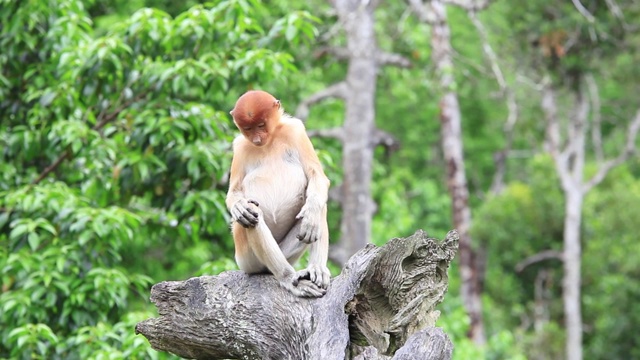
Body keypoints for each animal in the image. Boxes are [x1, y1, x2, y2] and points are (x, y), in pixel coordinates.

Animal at [226, 89, 330, 296]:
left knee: (318, 204)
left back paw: (317, 269)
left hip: (286, 251)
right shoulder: (239, 146)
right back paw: (288, 278)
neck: (270, 140)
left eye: (261, 124)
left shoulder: (296, 131)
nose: (257, 140)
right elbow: (234, 192)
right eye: (247, 128)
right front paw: (240, 207)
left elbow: (317, 177)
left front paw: (311, 217)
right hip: (246, 259)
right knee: (253, 215)